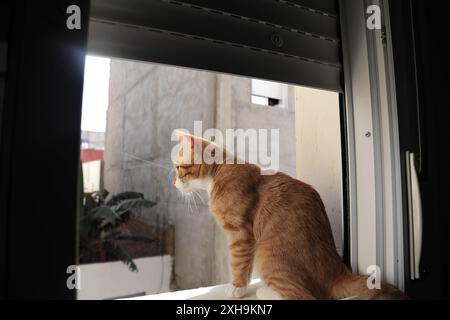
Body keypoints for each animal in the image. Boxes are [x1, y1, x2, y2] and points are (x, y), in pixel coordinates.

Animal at [172, 134, 404, 298]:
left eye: (178, 168)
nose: (173, 184)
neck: (219, 172)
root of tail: (338, 271)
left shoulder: (241, 235)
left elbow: (238, 263)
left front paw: (237, 288)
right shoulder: (248, 240)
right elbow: (246, 266)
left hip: (267, 254)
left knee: (303, 297)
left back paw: (266, 292)